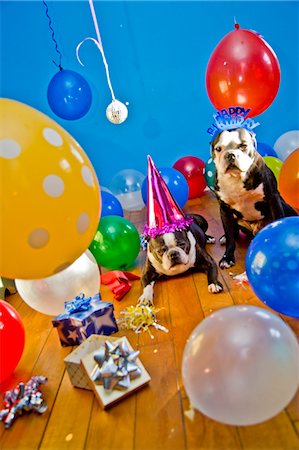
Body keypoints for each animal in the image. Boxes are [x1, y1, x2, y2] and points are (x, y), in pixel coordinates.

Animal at [212, 126, 298, 268]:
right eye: (218, 149)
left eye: (243, 146)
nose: (230, 154)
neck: (236, 178)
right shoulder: (224, 209)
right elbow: (230, 236)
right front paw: (227, 257)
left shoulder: (273, 199)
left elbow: (278, 218)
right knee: (232, 231)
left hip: (285, 205)